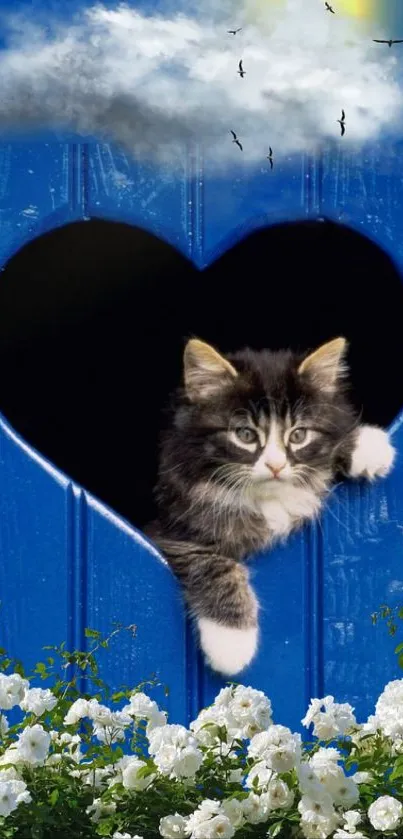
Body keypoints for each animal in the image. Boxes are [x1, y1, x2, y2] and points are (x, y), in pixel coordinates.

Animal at [146, 336, 398, 676]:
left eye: (299, 434)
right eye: (245, 435)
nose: (276, 465)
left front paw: (366, 445)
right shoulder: (171, 530)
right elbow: (212, 564)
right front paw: (231, 642)